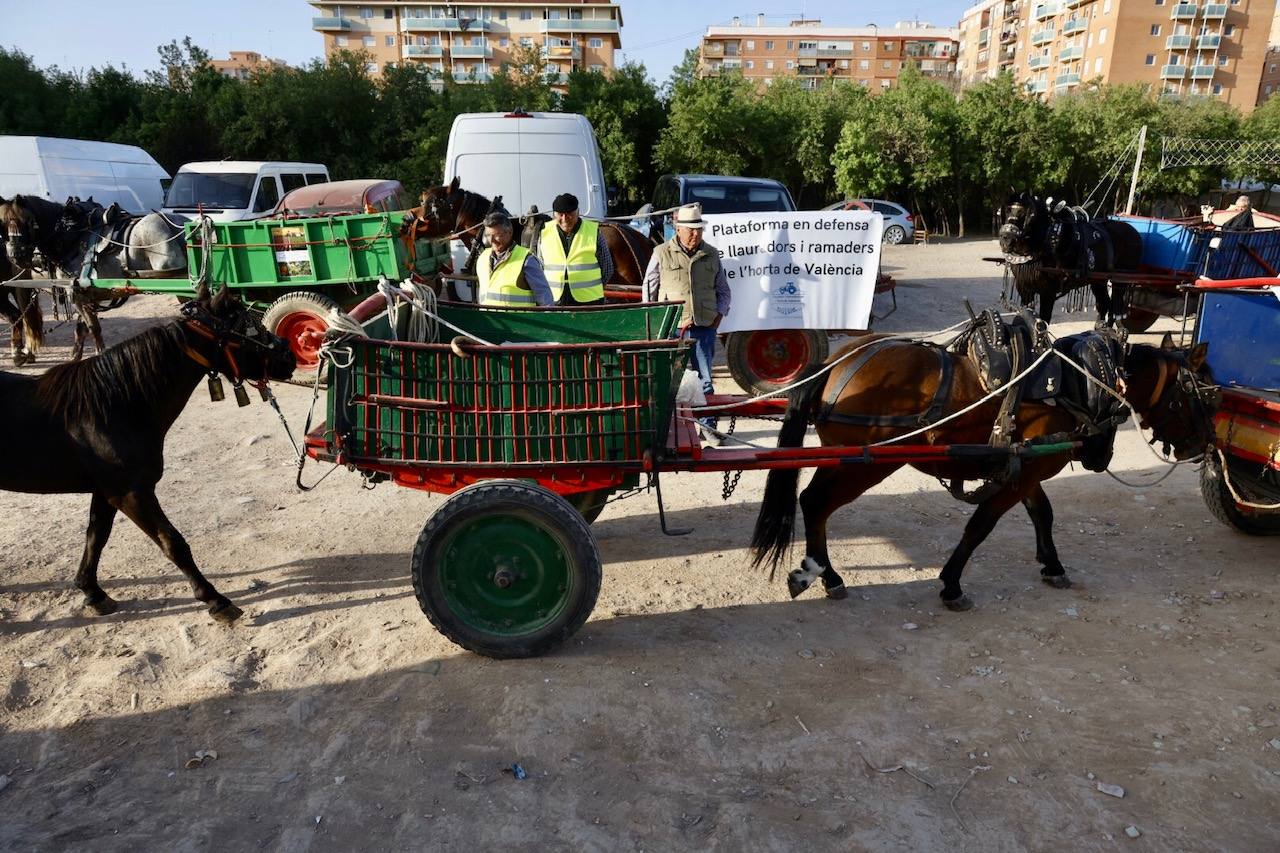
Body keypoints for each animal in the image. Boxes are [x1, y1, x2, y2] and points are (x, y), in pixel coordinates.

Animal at [1, 281, 294, 622]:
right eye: (248, 326)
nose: (289, 355)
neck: (113, 407)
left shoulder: (107, 491)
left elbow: (96, 537)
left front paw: (92, 592)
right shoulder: (131, 493)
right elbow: (172, 542)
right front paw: (215, 599)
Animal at [752, 330, 1213, 604]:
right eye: (1197, 392)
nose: (1203, 444)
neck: (1080, 382)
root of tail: (842, 361)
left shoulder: (1026, 467)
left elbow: (1043, 514)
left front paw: (1052, 564)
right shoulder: (1022, 474)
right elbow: (980, 526)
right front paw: (952, 583)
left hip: (840, 456)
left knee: (811, 501)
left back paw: (825, 574)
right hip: (867, 463)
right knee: (818, 503)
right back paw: (819, 574)